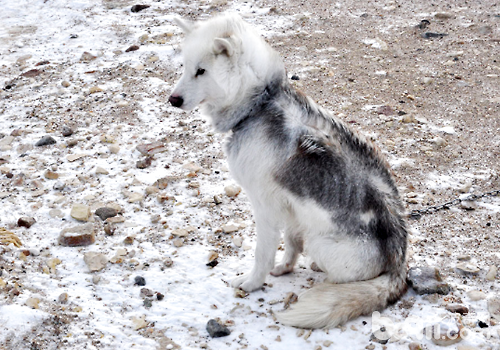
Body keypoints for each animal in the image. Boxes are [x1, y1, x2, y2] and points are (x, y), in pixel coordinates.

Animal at [170, 13, 408, 330]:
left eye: (201, 71)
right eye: (185, 68)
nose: (173, 99)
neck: (258, 105)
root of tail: (399, 264)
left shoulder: (264, 207)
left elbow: (263, 254)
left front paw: (252, 283)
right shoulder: (290, 206)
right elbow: (292, 243)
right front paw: (285, 268)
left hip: (321, 242)